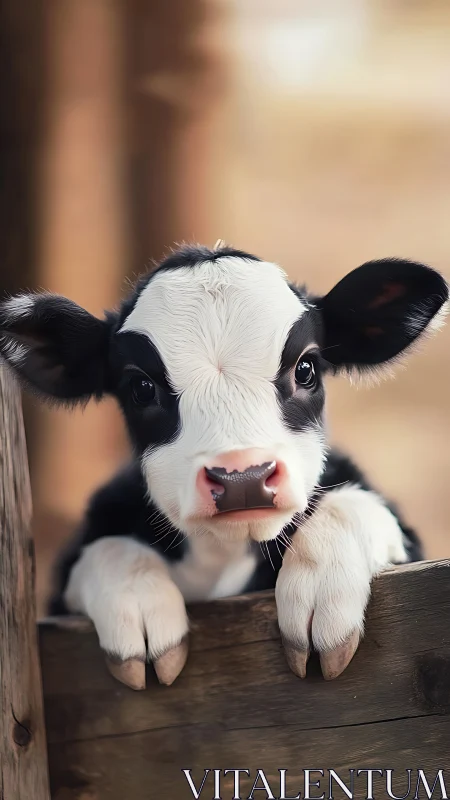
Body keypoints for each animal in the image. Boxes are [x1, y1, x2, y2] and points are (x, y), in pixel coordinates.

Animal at [0, 244, 447, 690]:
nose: (242, 477)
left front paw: (323, 593)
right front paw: (140, 612)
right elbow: (109, 548)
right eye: (141, 387)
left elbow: (350, 506)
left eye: (306, 368)